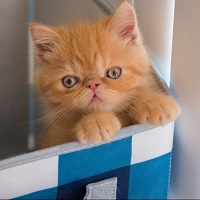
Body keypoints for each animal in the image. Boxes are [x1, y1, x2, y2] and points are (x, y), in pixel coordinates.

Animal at [29, 1, 181, 148]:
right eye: (69, 81)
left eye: (114, 73)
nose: (92, 84)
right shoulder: (56, 138)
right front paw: (97, 123)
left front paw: (154, 104)